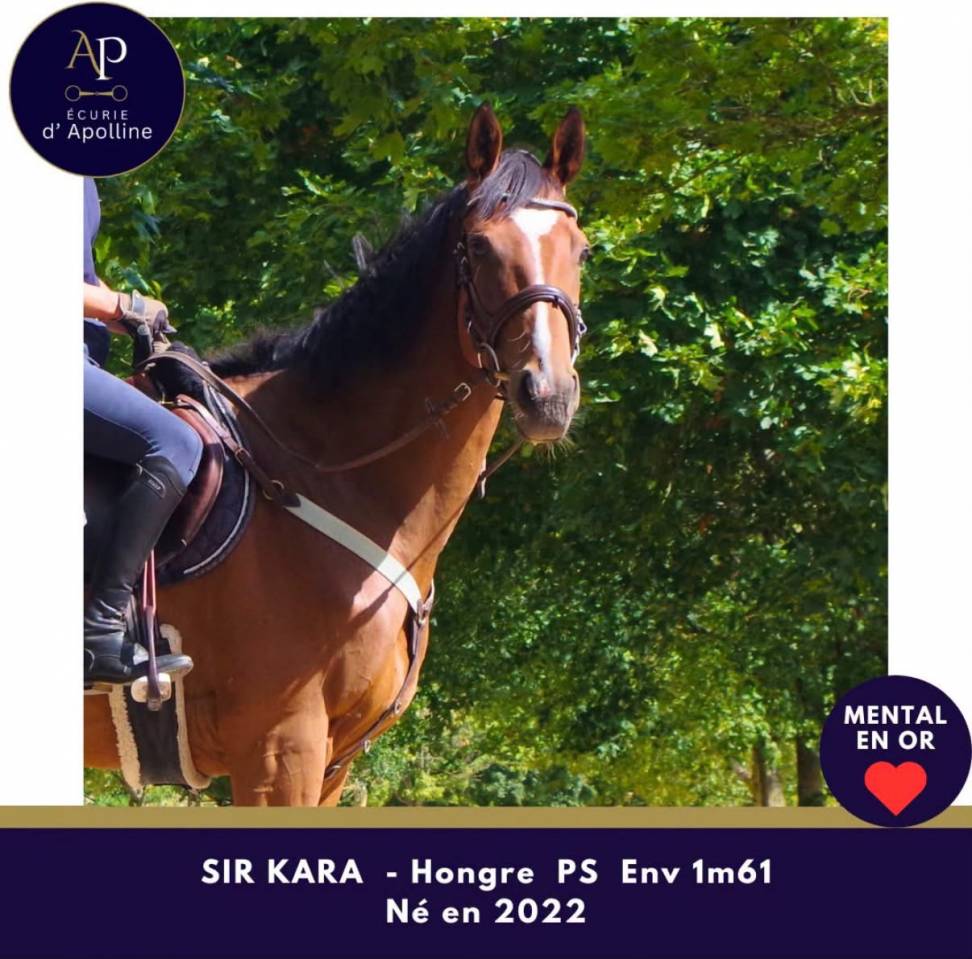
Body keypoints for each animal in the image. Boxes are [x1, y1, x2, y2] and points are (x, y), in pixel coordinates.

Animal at [84, 103, 588, 806]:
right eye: (480, 247)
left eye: (581, 249)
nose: (548, 394)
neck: (321, 473)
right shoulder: (279, 749)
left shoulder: (331, 761)